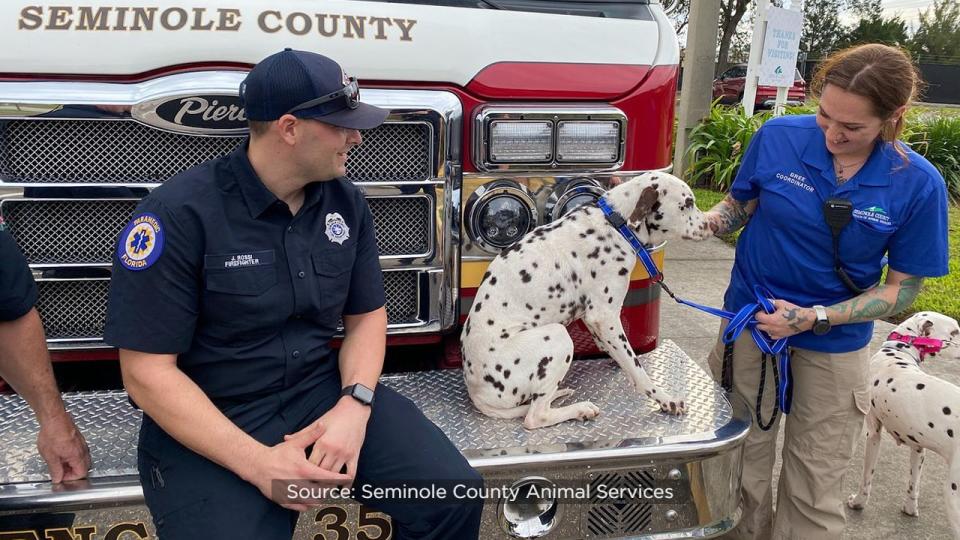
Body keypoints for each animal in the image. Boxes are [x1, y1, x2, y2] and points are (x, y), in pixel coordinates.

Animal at [462, 173, 708, 430]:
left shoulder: (595, 321)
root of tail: (477, 395)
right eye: (687, 203)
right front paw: (665, 399)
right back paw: (579, 409)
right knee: (535, 416)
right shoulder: (605, 317)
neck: (616, 223)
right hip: (557, 336)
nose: (711, 224)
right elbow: (638, 371)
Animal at [848, 312, 960, 532]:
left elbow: (866, 479)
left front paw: (858, 503)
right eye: (954, 332)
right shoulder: (918, 448)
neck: (897, 352)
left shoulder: (873, 434)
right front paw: (910, 509)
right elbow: (913, 485)